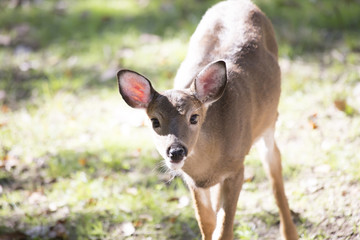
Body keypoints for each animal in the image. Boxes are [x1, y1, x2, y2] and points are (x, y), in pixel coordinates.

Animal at [116, 0, 298, 239]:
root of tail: (240, 2)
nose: (176, 151)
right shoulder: (194, 182)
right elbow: (208, 221)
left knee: (274, 165)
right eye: (155, 121)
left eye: (194, 117)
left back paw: (290, 231)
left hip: (270, 121)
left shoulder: (237, 168)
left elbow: (225, 228)